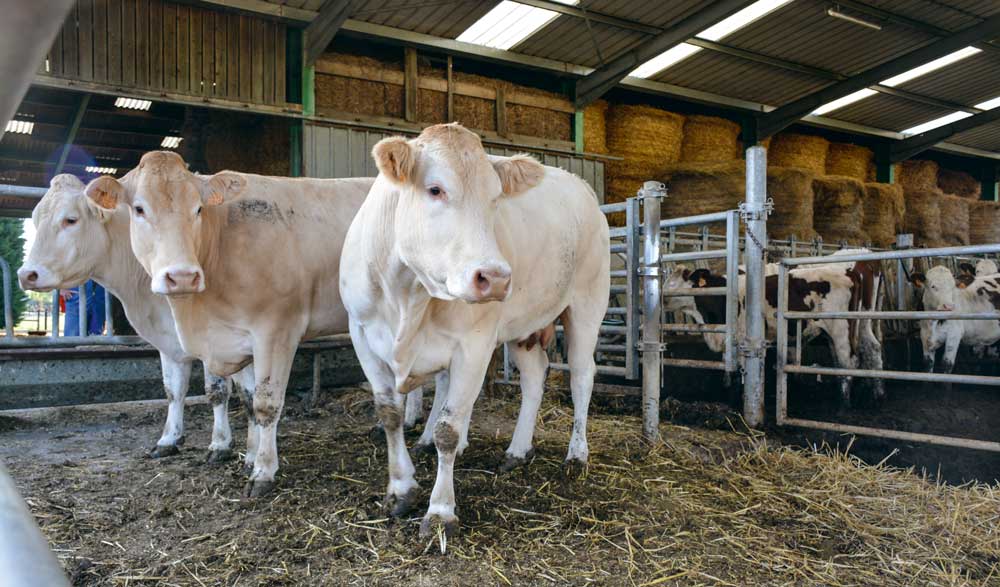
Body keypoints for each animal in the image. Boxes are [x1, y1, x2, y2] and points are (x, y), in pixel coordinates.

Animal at [18, 175, 252, 464]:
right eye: (35, 220)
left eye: (70, 220)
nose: (26, 274)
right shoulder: (168, 341)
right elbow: (173, 389)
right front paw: (168, 439)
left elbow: (217, 390)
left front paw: (220, 444)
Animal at [82, 153, 382, 496]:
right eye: (139, 209)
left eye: (198, 208)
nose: (182, 276)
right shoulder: (236, 338)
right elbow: (247, 400)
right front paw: (248, 458)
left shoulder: (276, 331)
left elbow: (265, 404)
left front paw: (263, 471)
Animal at [340, 124, 608, 536]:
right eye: (435, 189)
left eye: (495, 197)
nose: (495, 278)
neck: (408, 293)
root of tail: (582, 187)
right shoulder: (363, 336)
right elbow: (390, 415)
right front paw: (400, 489)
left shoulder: (474, 344)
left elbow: (448, 429)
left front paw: (440, 512)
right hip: (524, 325)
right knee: (534, 376)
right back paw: (517, 451)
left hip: (587, 302)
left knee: (581, 375)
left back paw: (576, 456)